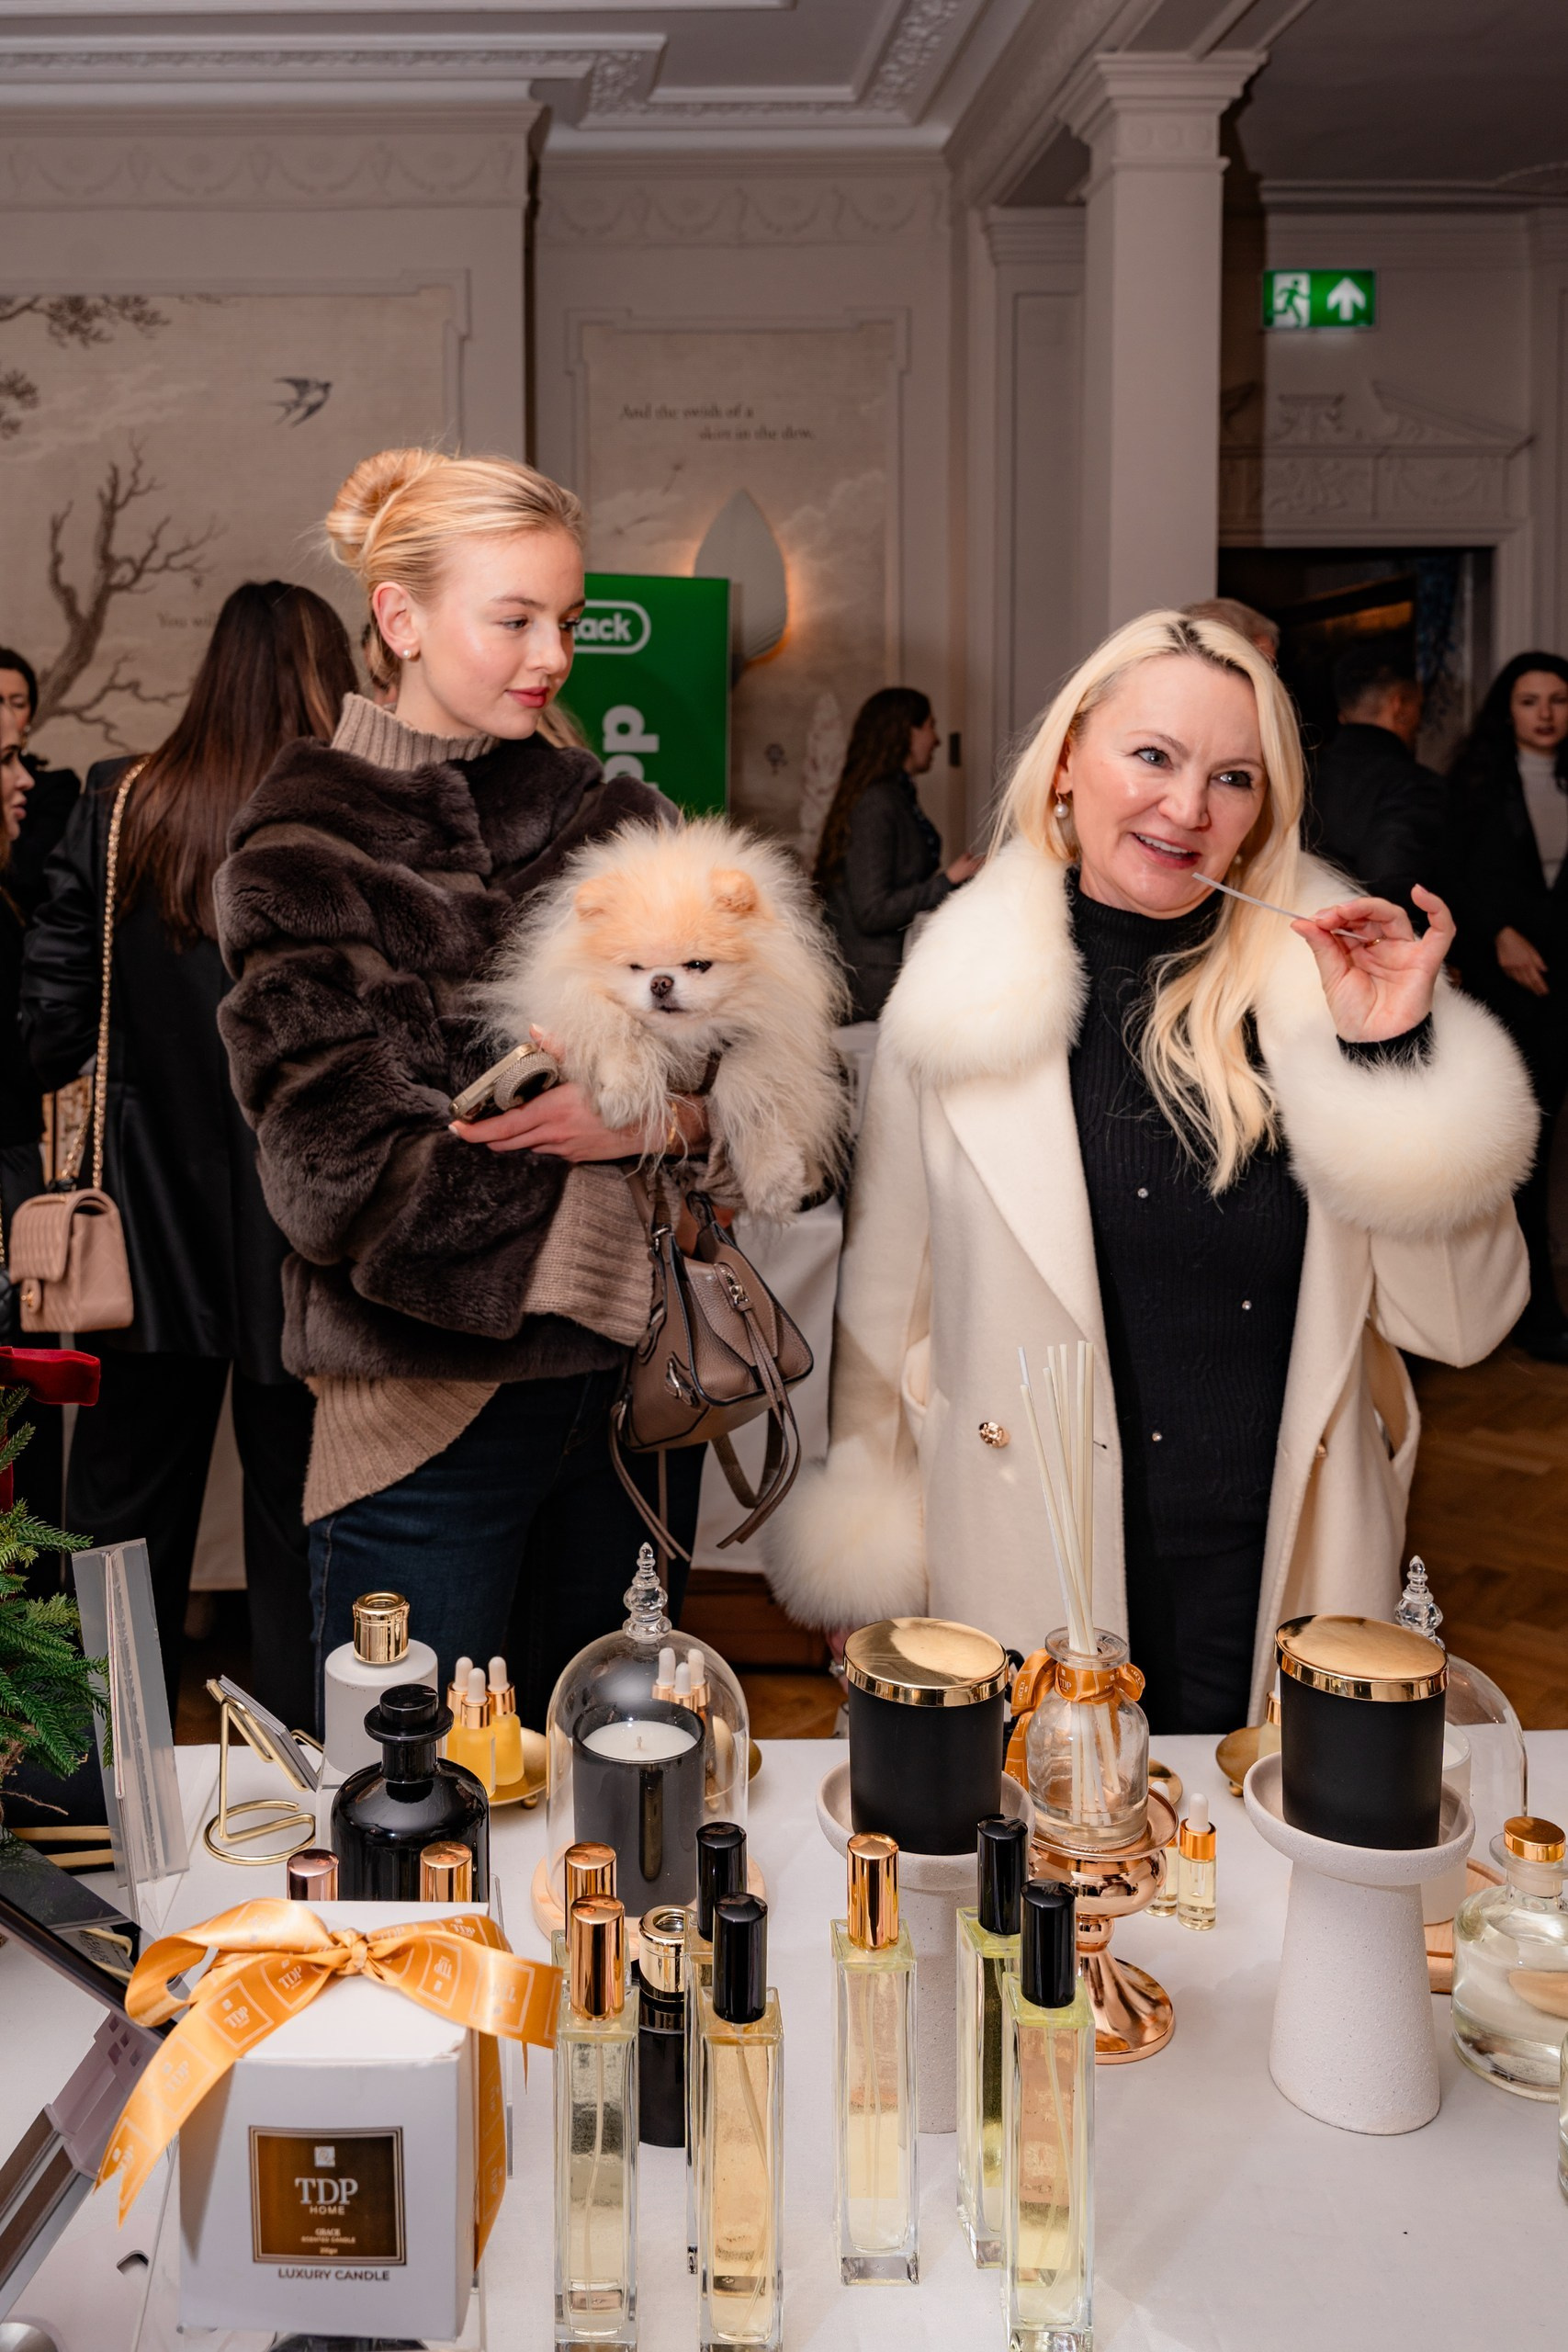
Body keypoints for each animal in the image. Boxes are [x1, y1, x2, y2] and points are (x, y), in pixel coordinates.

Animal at [482, 818, 850, 1219]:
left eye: (698, 964)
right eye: (636, 967)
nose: (661, 982)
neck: (684, 1040)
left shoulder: (762, 1051)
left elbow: (758, 1109)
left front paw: (775, 1185)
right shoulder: (576, 1005)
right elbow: (619, 1034)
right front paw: (623, 1096)